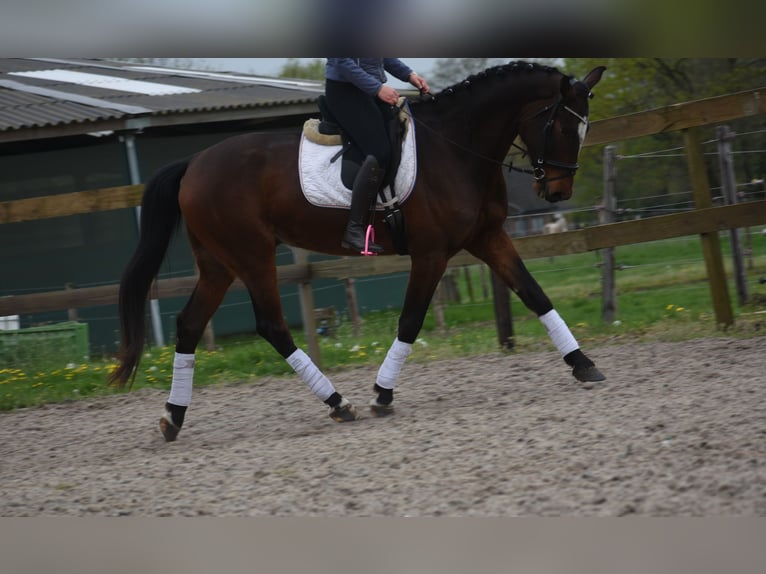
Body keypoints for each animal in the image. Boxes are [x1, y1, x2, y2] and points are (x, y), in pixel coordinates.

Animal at [109, 61, 607, 442]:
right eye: (563, 125)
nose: (558, 192)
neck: (457, 148)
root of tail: (194, 162)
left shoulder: (488, 237)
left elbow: (536, 295)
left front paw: (584, 365)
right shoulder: (431, 254)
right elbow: (410, 321)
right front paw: (381, 395)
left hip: (218, 262)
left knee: (190, 325)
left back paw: (173, 417)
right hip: (251, 255)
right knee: (271, 326)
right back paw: (338, 402)